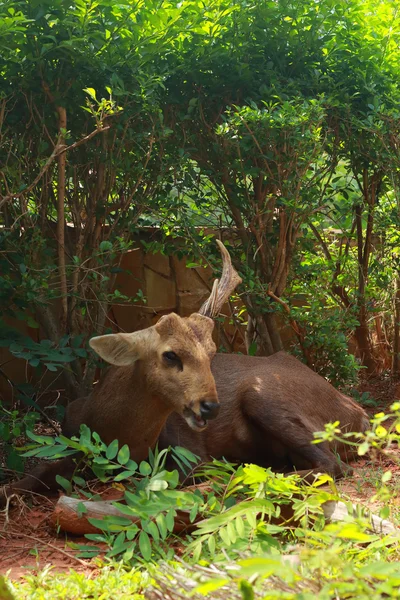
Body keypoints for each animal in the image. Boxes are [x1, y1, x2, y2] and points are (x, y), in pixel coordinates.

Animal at [0, 240, 368, 506]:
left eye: (212, 354)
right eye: (170, 355)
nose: (210, 406)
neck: (110, 430)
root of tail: (360, 414)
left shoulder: (190, 453)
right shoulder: (71, 440)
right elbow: (38, 470)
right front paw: (10, 493)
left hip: (265, 394)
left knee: (334, 465)